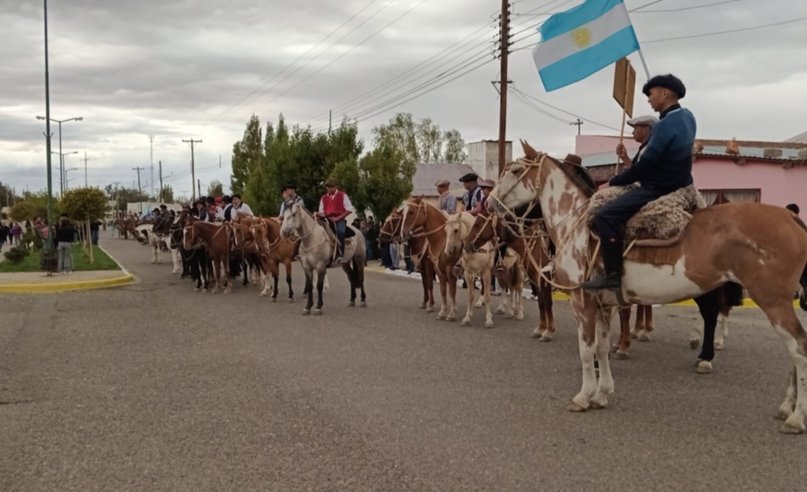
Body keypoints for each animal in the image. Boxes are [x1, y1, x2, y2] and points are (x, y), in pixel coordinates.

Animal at [464, 208, 552, 338]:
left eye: (477, 224)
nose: (467, 246)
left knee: (517, 288)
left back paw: (517, 311)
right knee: (509, 286)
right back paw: (509, 309)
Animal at [490, 140, 807, 432]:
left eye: (515, 170)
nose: (491, 203)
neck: (578, 227)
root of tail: (790, 217)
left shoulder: (582, 302)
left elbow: (586, 351)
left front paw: (583, 396)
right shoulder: (602, 304)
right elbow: (602, 348)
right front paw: (602, 394)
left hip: (773, 301)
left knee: (798, 348)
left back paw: (795, 417)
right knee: (790, 350)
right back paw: (785, 406)